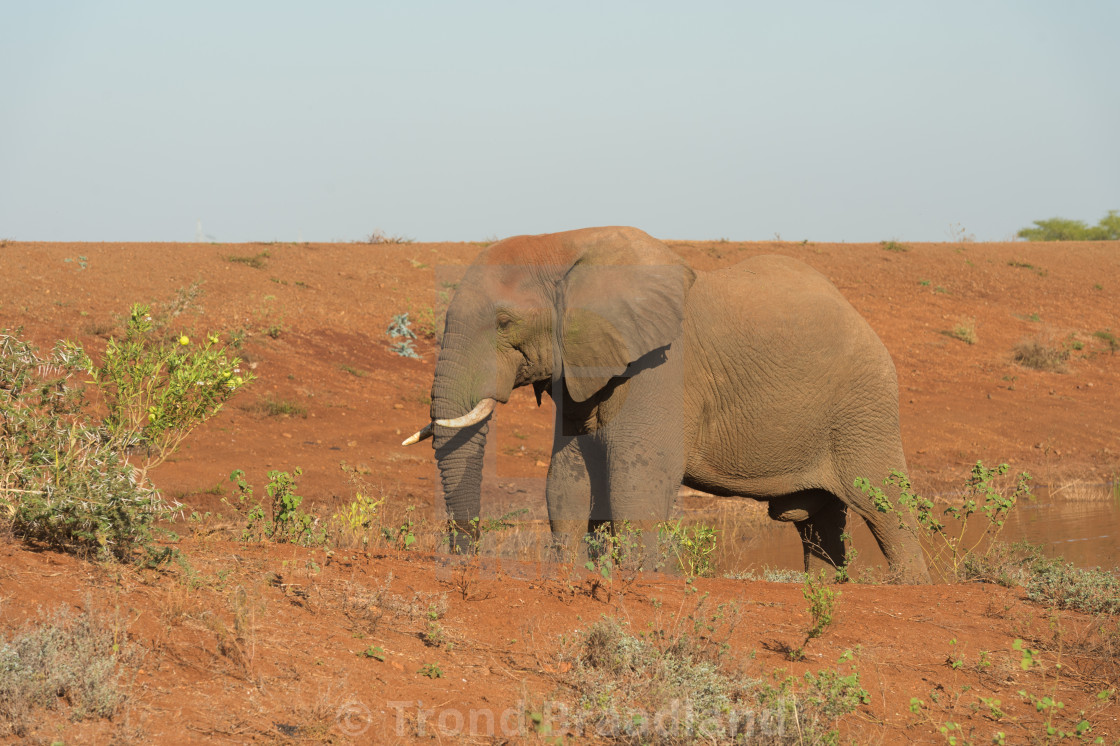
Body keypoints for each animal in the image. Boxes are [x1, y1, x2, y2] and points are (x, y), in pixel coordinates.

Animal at [403, 225, 927, 582]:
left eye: (505, 322)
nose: (464, 558)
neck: (569, 242)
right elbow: (567, 478)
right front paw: (571, 572)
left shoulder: (661, 368)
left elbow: (638, 474)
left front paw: (638, 576)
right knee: (819, 520)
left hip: (865, 404)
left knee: (883, 503)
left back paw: (906, 586)